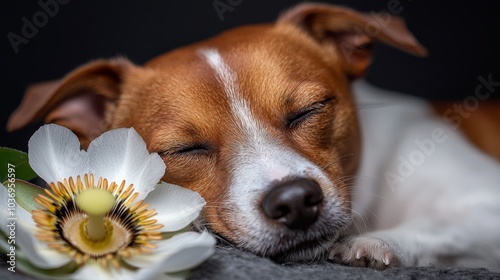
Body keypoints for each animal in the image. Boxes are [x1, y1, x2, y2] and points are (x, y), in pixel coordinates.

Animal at [6, 3, 500, 272]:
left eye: (308, 111)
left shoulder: (484, 202)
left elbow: (438, 226)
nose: (295, 200)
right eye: (187, 149)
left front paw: (380, 243)